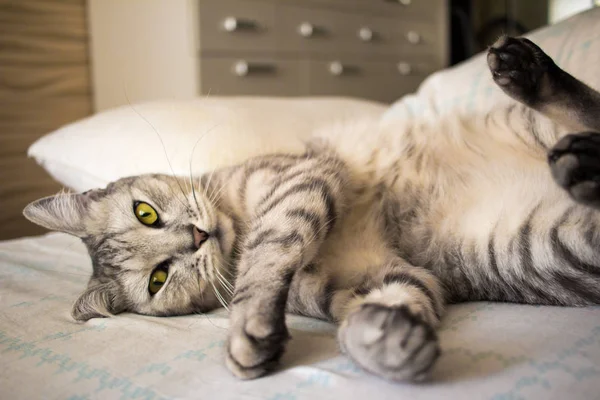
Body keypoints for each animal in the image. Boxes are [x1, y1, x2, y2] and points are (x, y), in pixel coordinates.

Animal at [21, 36, 600, 382]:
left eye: (146, 213)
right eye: (158, 278)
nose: (195, 238)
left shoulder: (298, 179)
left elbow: (262, 265)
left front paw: (245, 329)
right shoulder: (372, 278)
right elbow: (382, 308)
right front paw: (387, 344)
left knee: (588, 105)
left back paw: (528, 74)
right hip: (548, 248)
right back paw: (582, 161)